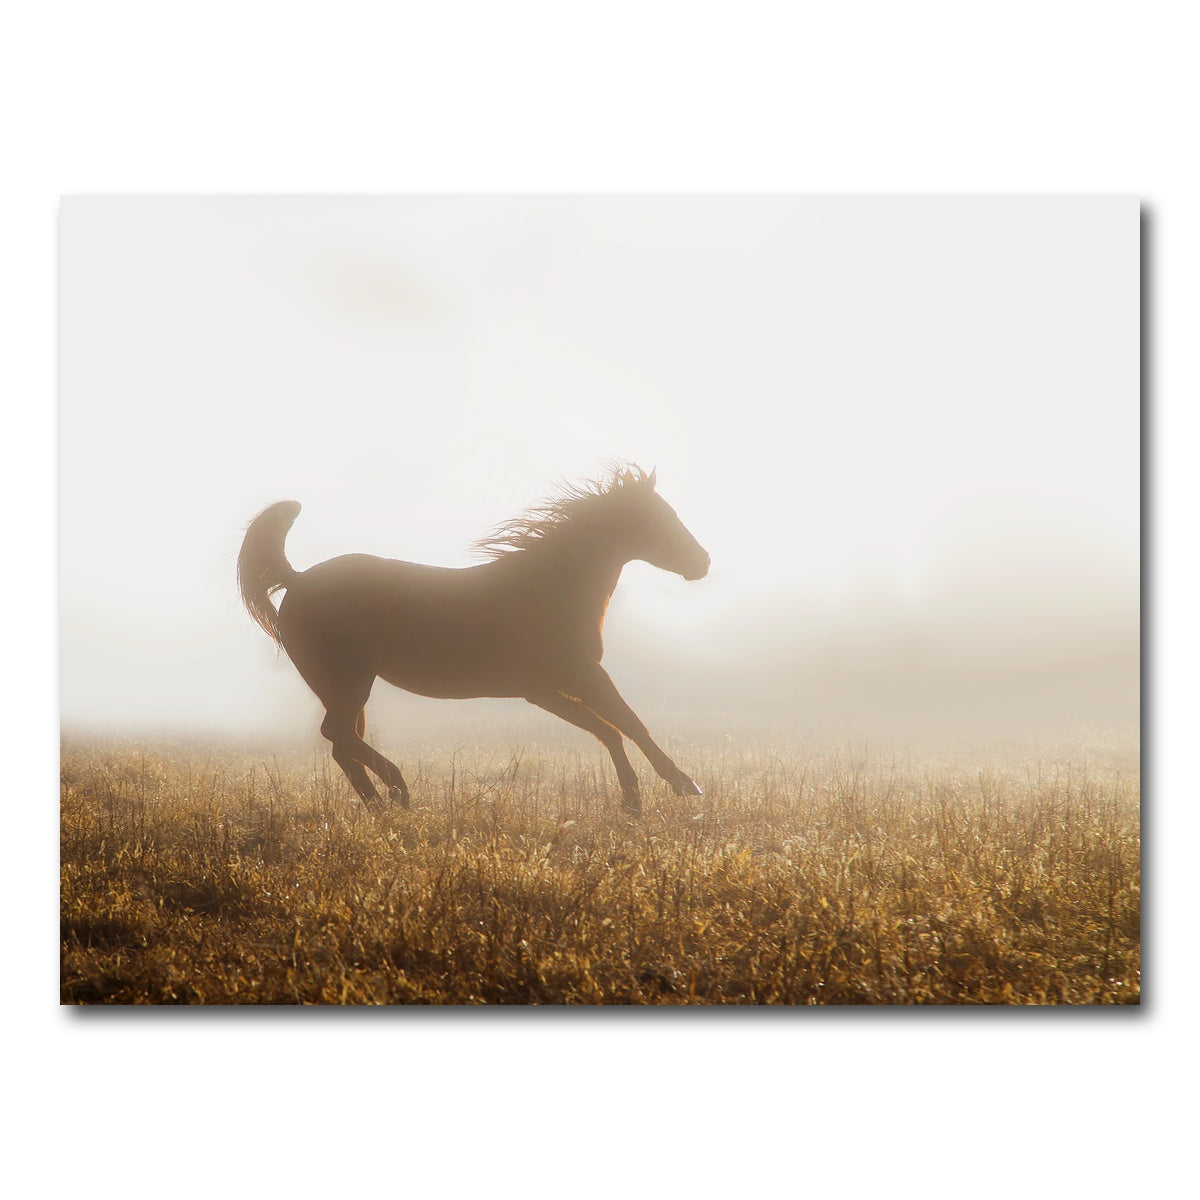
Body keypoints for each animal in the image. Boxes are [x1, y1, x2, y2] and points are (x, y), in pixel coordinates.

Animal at [237, 465, 710, 815]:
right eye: (659, 518)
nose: (702, 562)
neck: (549, 590)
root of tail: (297, 580)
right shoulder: (570, 678)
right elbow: (626, 723)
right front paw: (680, 785)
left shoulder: (549, 688)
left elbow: (610, 729)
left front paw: (635, 800)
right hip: (350, 682)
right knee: (338, 735)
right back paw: (399, 791)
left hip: (342, 687)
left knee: (342, 744)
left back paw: (382, 807)